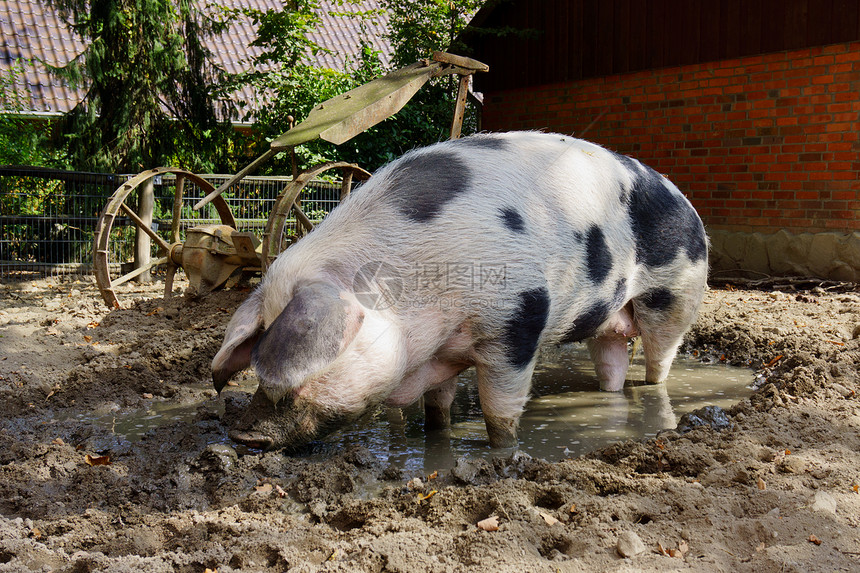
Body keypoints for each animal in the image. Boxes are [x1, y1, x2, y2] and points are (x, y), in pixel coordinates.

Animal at [212, 132, 708, 450]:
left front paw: (503, 452)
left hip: (676, 295)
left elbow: (499, 410)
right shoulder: (442, 353)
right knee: (612, 359)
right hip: (608, 320)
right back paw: (610, 396)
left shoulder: (518, 321)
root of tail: (684, 199)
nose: (242, 435)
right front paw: (436, 435)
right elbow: (438, 408)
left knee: (659, 360)